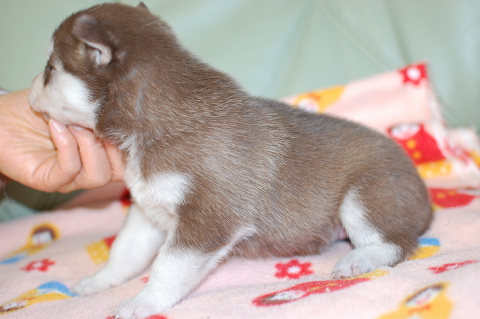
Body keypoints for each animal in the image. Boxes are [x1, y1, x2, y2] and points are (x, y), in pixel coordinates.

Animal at [29, 3, 432, 319]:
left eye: (49, 68)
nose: (29, 88)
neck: (153, 125)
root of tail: (424, 197)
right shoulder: (148, 211)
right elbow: (125, 251)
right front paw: (100, 280)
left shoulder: (208, 220)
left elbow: (167, 266)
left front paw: (144, 302)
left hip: (364, 195)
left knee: (397, 243)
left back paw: (357, 259)